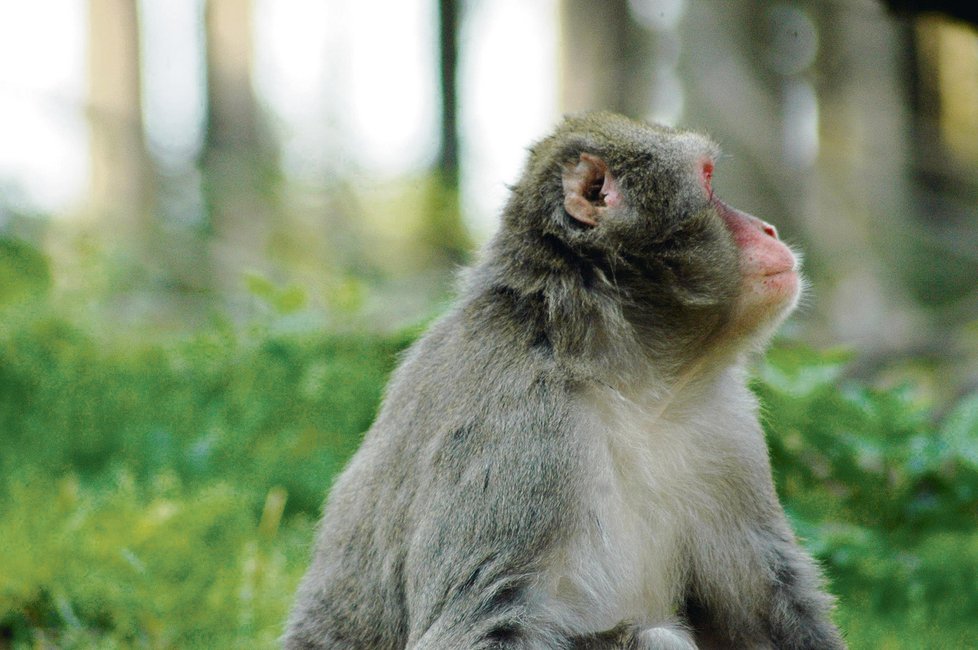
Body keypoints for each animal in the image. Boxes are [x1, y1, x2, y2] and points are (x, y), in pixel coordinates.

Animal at [280, 112, 840, 648]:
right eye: (707, 181)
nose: (768, 230)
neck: (633, 383)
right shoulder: (520, 427)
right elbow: (478, 628)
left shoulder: (726, 430)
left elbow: (768, 608)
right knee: (657, 637)